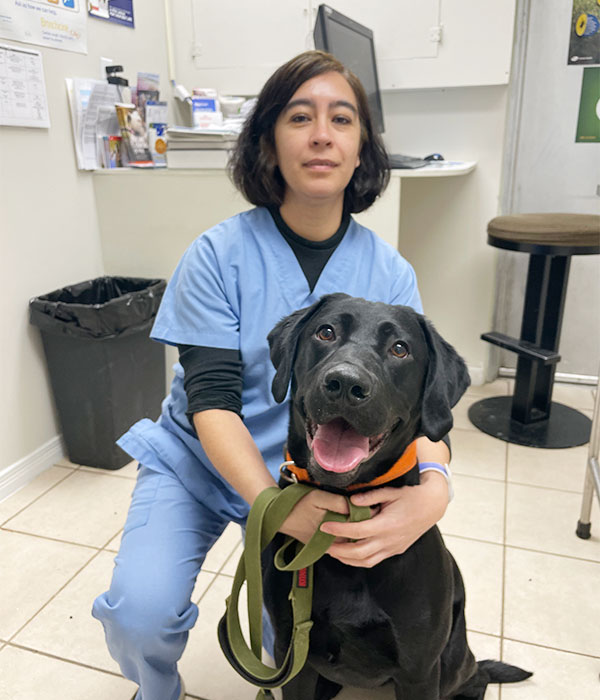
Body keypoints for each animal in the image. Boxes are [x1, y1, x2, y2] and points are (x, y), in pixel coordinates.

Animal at [262, 294, 528, 700]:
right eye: (326, 332)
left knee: (478, 674)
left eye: (399, 349)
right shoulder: (291, 653)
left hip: (450, 663)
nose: (344, 383)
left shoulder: (419, 671)